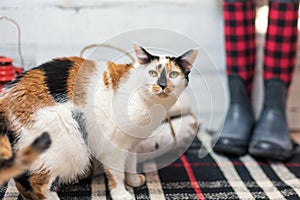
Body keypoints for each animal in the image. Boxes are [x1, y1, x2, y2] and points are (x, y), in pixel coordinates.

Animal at [0, 44, 197, 199]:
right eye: (152, 73)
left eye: (173, 74)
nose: (162, 85)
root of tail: (6, 96)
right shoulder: (113, 144)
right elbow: (116, 173)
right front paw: (121, 194)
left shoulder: (132, 143)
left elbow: (131, 163)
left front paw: (133, 180)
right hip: (69, 142)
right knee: (38, 181)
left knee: (22, 180)